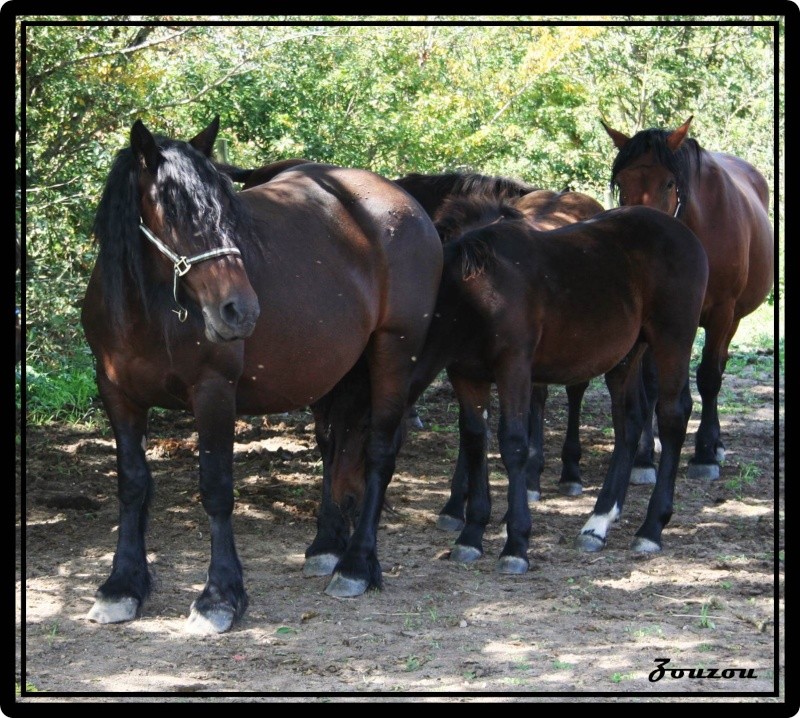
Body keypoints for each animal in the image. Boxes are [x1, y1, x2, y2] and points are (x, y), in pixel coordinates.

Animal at [81, 118, 444, 636]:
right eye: (174, 213)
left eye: (227, 210)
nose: (240, 310)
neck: (148, 313)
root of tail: (403, 202)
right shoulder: (117, 394)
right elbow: (132, 484)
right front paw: (121, 587)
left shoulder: (213, 392)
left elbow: (216, 488)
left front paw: (219, 596)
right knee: (334, 448)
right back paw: (327, 547)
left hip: (394, 353)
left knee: (377, 452)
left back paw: (357, 565)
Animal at [406, 200, 708, 572]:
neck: (474, 294)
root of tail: (684, 232)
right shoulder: (465, 374)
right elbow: (475, 439)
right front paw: (471, 535)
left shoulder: (514, 368)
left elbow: (513, 444)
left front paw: (516, 544)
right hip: (626, 355)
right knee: (629, 421)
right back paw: (598, 523)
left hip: (672, 339)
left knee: (672, 416)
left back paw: (650, 529)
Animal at [604, 116, 772, 484]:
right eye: (621, 182)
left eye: (669, 183)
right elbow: (652, 386)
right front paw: (642, 458)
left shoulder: (721, 312)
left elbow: (709, 376)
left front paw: (705, 454)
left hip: (732, 319)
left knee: (718, 367)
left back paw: (715, 445)